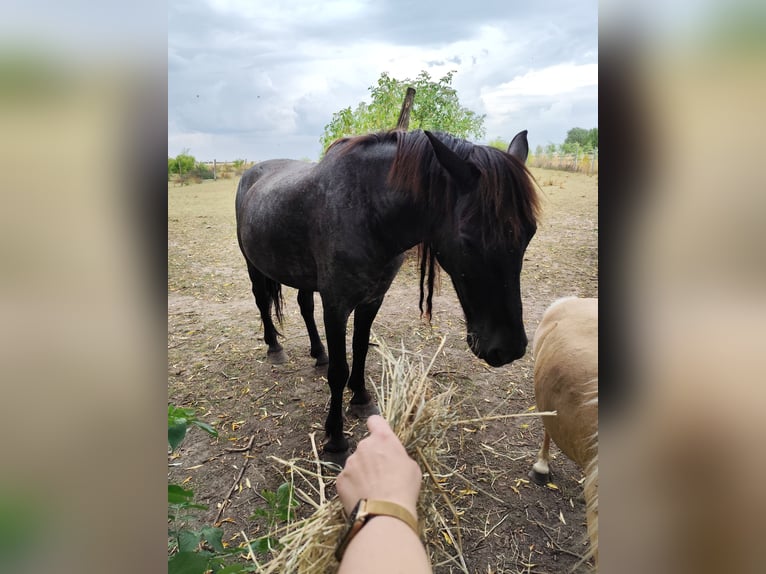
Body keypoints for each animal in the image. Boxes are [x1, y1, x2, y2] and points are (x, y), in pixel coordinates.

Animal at [235, 128, 541, 458]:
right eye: (468, 239)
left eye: (530, 233)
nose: (508, 349)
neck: (367, 211)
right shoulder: (336, 305)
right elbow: (339, 371)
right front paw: (336, 439)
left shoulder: (372, 299)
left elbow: (360, 349)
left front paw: (360, 398)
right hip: (253, 264)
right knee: (262, 301)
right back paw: (274, 347)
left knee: (304, 305)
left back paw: (318, 352)